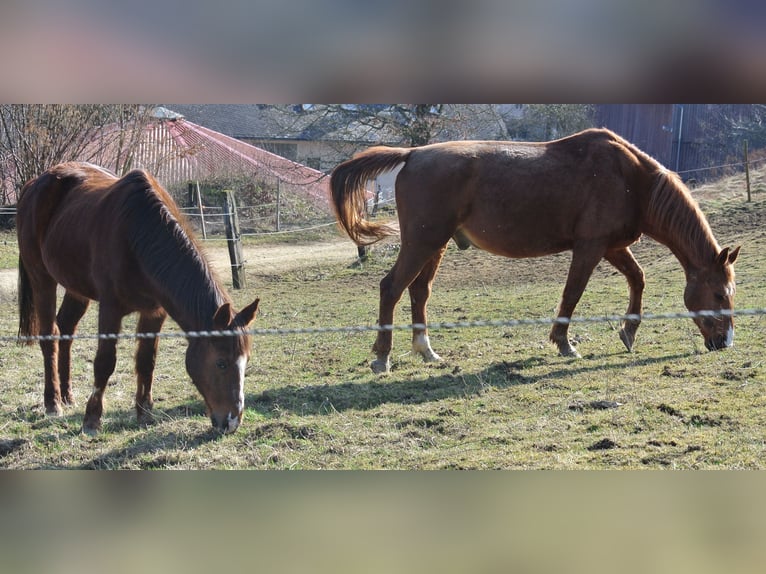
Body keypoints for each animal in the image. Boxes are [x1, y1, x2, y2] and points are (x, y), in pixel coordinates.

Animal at [17, 164, 260, 434]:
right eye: (221, 363)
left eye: (246, 360)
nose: (232, 421)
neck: (138, 234)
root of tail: (34, 184)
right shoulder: (110, 308)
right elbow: (105, 361)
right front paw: (92, 418)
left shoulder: (155, 312)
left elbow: (146, 361)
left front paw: (144, 413)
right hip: (42, 279)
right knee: (50, 336)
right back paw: (53, 403)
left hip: (76, 288)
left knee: (66, 329)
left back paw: (67, 395)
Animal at [332, 128, 740, 376]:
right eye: (720, 294)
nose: (724, 343)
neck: (632, 180)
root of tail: (413, 154)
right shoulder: (591, 247)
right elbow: (573, 293)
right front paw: (565, 344)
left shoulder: (612, 246)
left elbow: (638, 280)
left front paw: (628, 332)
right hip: (423, 242)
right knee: (392, 287)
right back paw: (382, 357)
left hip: (437, 245)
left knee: (419, 291)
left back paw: (426, 350)